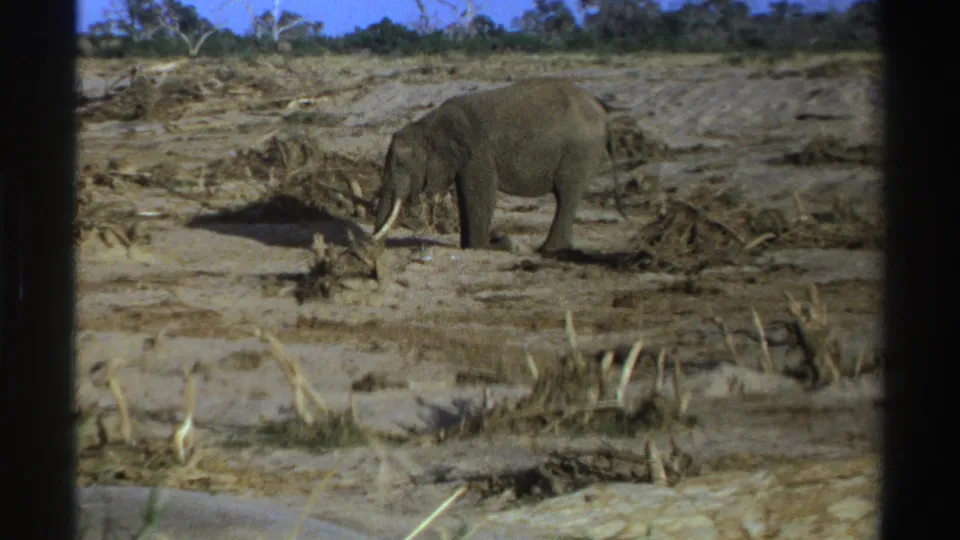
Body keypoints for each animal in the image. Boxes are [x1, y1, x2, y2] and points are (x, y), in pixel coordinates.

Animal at [370, 77, 629, 253]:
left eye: (400, 163)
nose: (375, 247)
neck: (427, 124)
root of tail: (603, 111)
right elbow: (466, 195)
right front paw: (470, 247)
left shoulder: (477, 150)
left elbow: (480, 194)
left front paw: (478, 248)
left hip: (580, 150)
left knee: (566, 194)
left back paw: (548, 250)